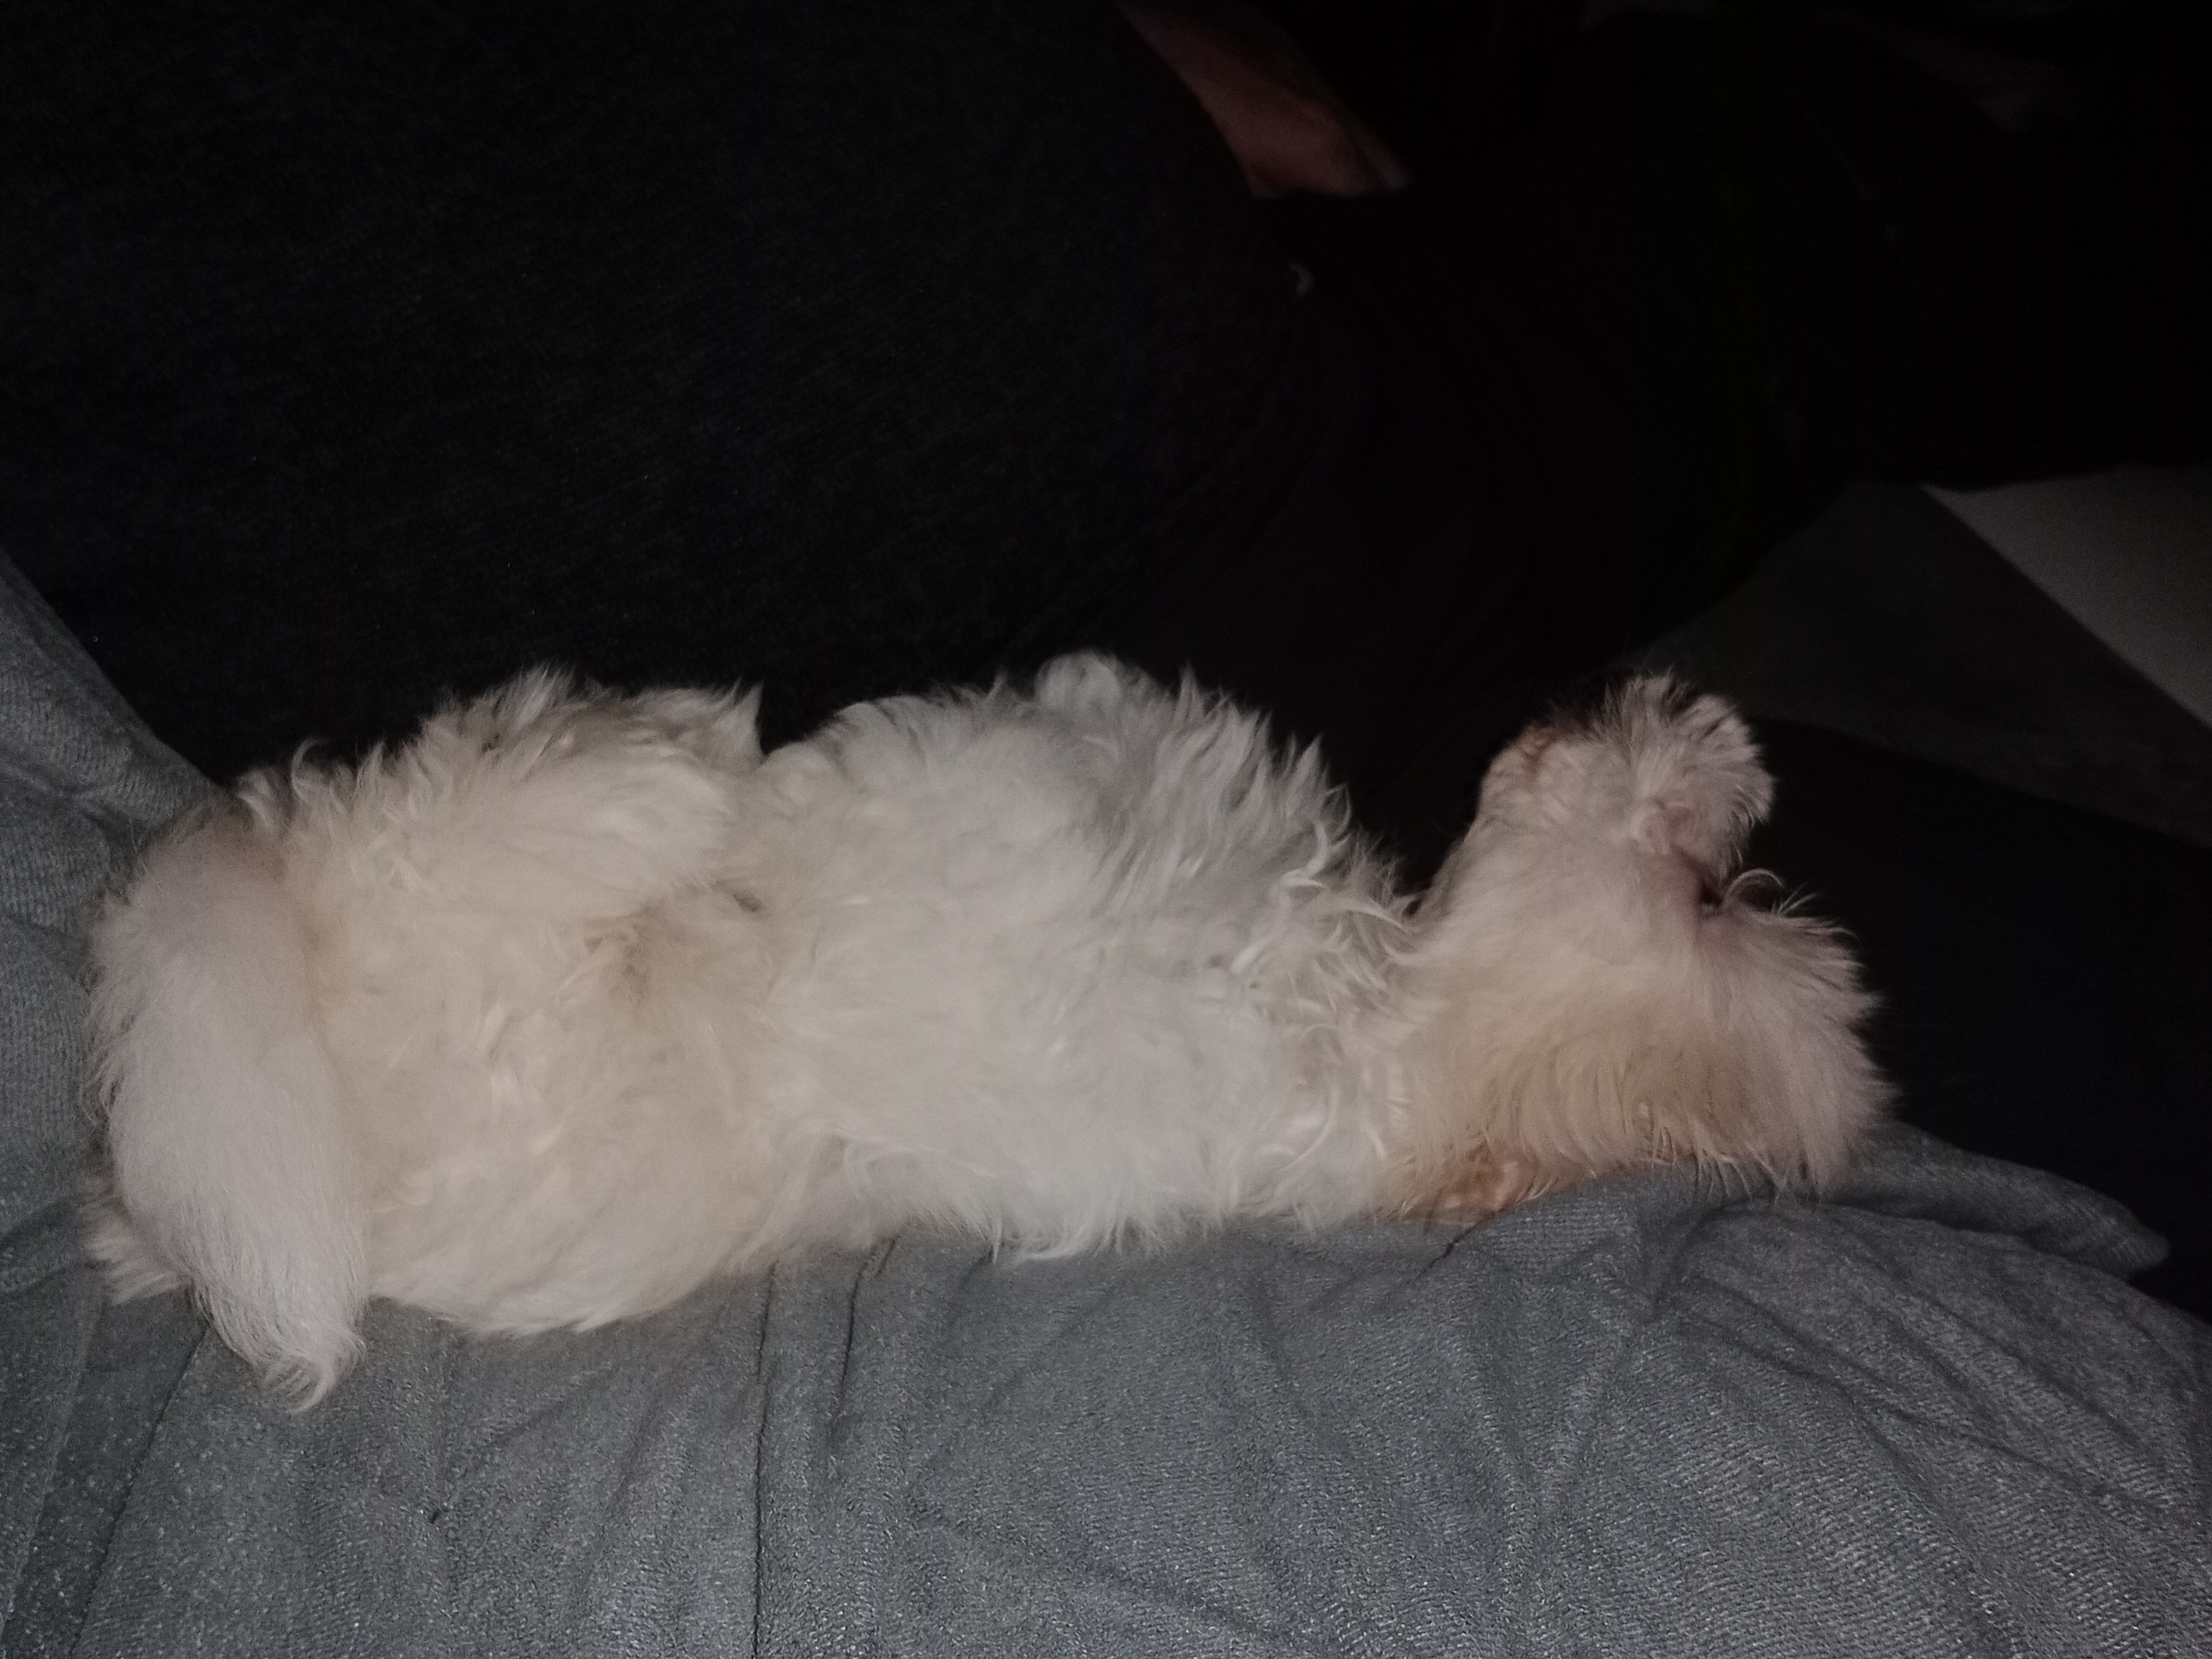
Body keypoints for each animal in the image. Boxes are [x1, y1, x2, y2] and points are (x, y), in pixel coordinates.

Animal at [84, 656, 1881, 1402]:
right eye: (1723, 887)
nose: (1721, 740)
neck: (1383, 1011)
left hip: (419, 957)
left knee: (425, 831)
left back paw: (663, 782)